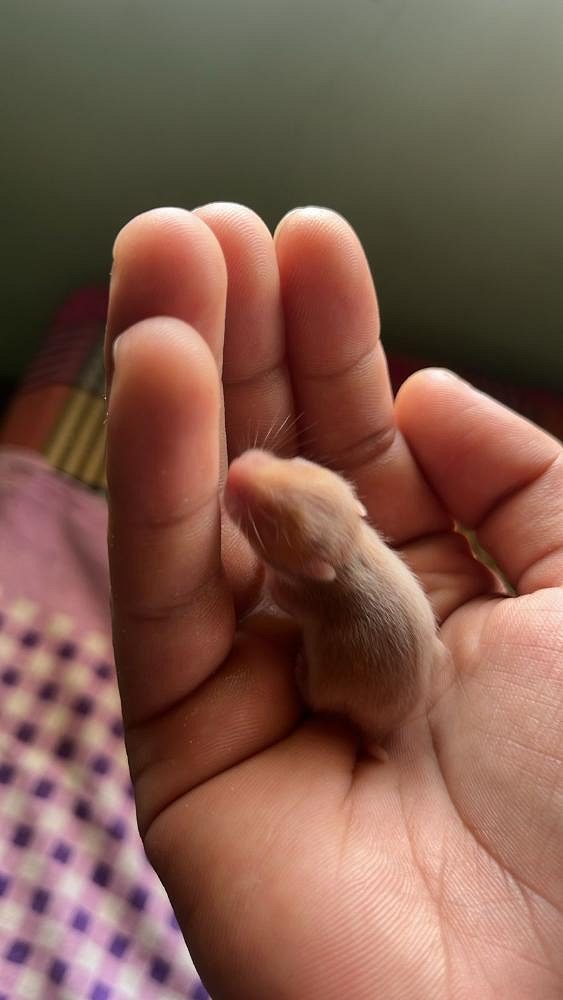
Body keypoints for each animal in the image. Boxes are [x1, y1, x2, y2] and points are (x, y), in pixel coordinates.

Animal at [224, 449, 440, 745]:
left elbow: (279, 594)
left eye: (268, 523)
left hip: (329, 682)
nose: (236, 469)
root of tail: (380, 729)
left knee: (317, 699)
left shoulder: (300, 593)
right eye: (295, 463)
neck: (346, 552)